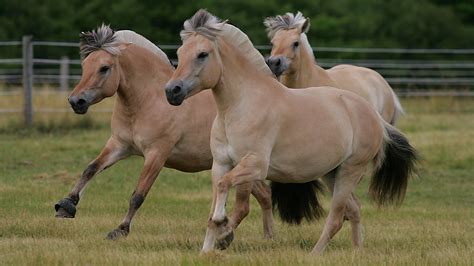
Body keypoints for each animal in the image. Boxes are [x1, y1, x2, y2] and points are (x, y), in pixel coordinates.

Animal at [53, 25, 272, 241]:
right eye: (85, 66)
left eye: (104, 68)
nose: (76, 101)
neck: (149, 100)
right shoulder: (119, 145)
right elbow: (91, 169)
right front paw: (66, 205)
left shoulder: (156, 154)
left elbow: (138, 195)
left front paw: (120, 229)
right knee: (265, 196)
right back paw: (267, 237)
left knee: (244, 206)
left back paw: (225, 235)